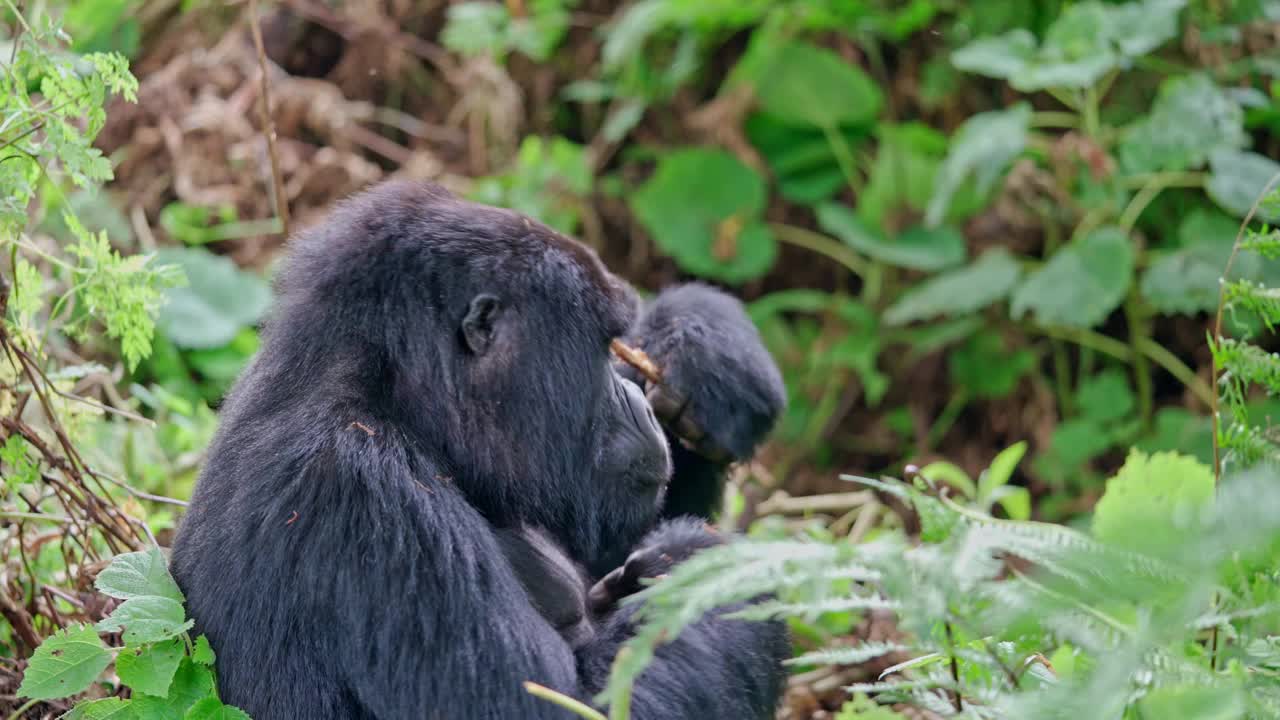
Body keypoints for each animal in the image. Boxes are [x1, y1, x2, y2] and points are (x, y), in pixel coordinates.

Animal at [170, 179, 788, 717]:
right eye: (599, 349)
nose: (637, 399)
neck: (394, 393)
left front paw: (703, 355)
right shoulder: (366, 490)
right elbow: (557, 706)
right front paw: (711, 567)